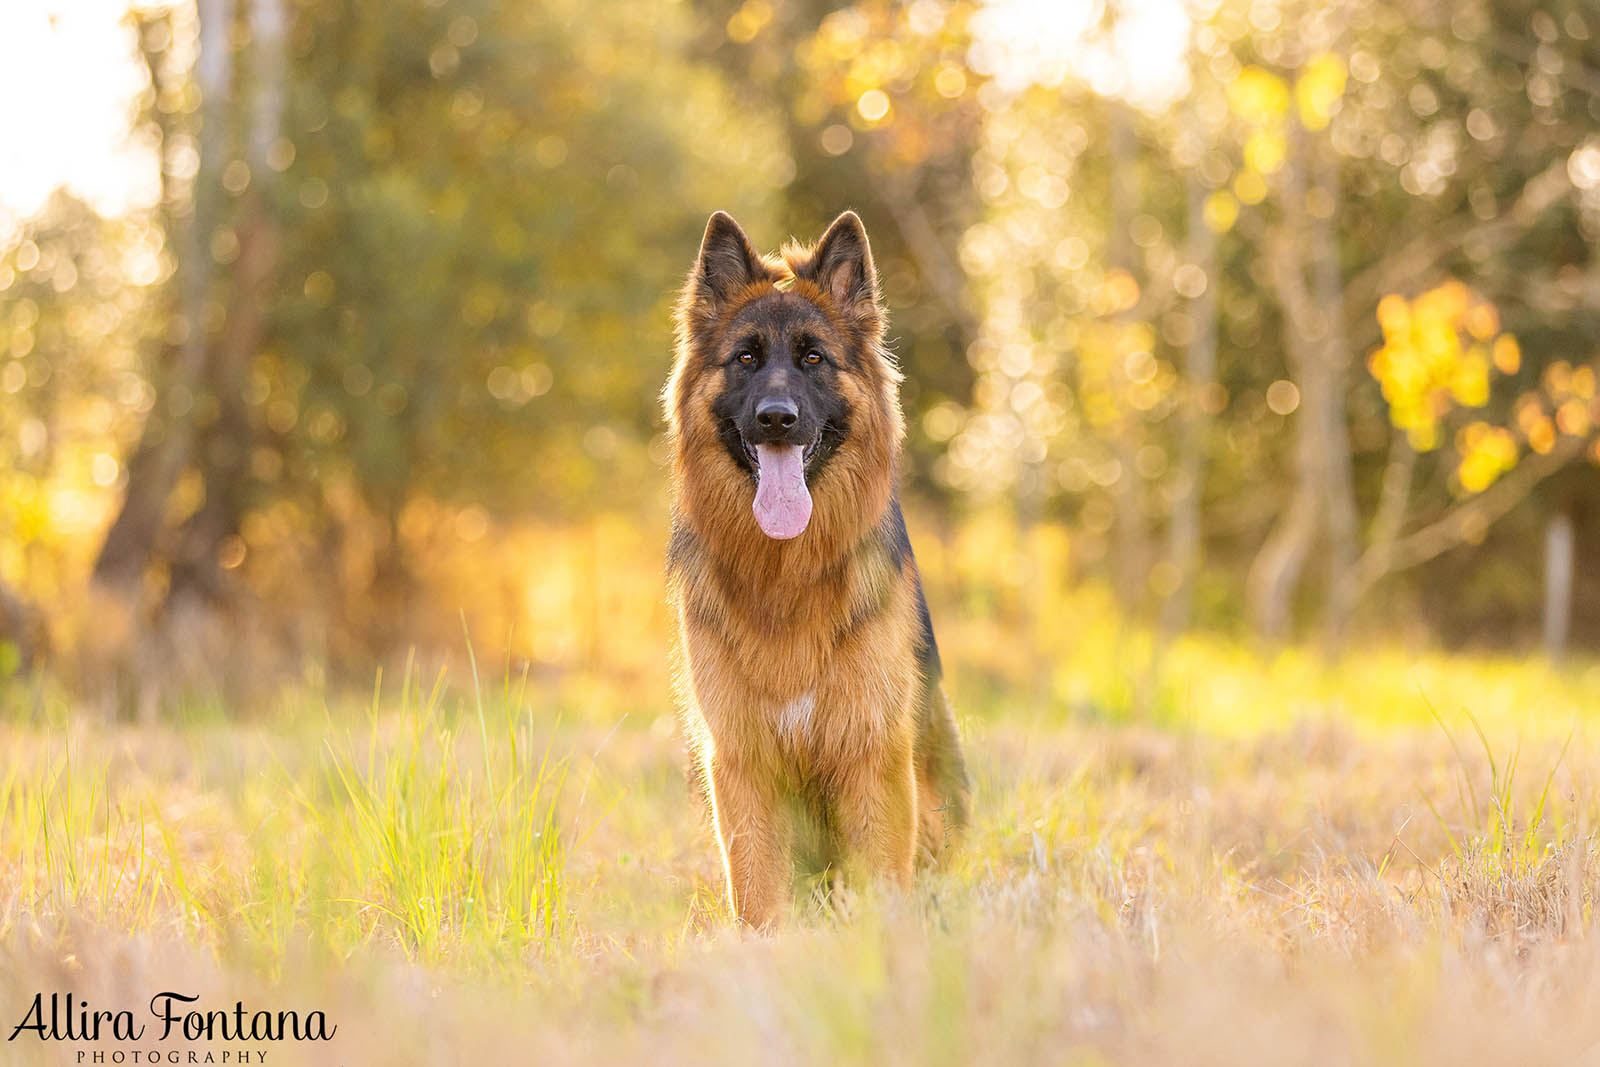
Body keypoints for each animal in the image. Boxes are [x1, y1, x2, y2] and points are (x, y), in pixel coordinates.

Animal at [659, 211, 960, 927]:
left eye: (814, 358)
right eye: (745, 358)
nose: (777, 419)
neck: (785, 573)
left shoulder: (873, 759)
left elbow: (881, 882)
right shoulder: (741, 767)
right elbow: (757, 896)